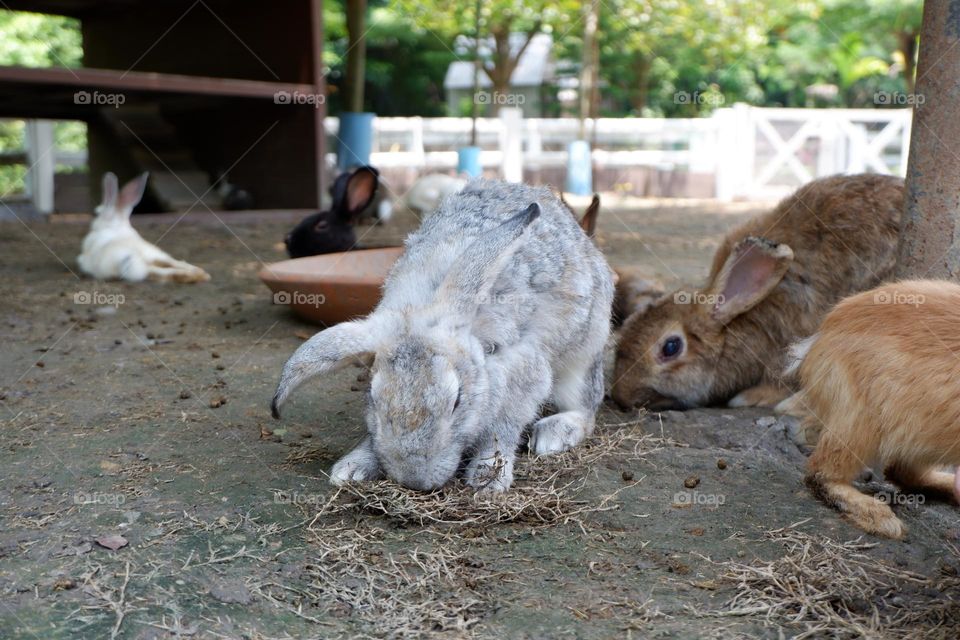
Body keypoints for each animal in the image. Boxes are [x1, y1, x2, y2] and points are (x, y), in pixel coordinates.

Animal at [77, 172, 210, 283]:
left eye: (96, 213)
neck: (115, 225)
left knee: (158, 271)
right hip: (152, 254)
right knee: (166, 266)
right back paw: (199, 274)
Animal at [271, 180, 615, 492]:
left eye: (457, 400)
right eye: (373, 398)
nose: (415, 481)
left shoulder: (522, 370)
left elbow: (502, 427)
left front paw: (488, 477)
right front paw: (352, 467)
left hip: (583, 355)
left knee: (586, 408)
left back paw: (553, 434)